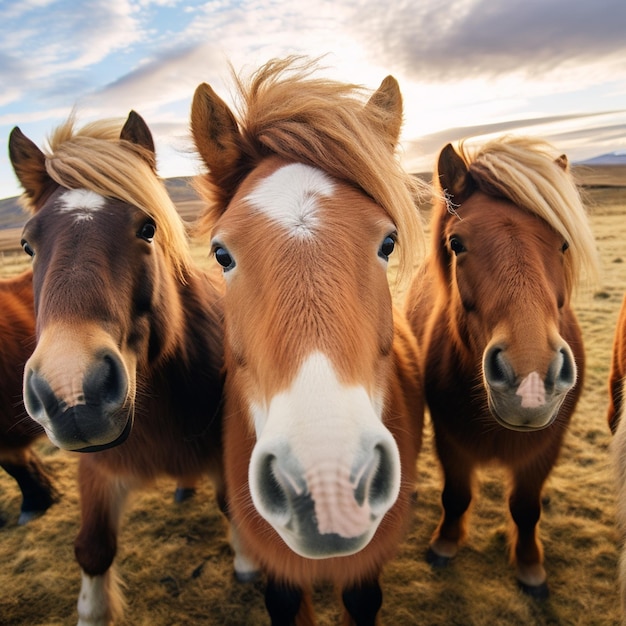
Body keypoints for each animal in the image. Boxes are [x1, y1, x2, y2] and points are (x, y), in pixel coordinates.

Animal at [7, 112, 251, 624]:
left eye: (147, 228)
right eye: (27, 244)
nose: (74, 392)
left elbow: (233, 505)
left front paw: (246, 563)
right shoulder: (97, 470)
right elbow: (93, 549)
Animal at [402, 138, 596, 600]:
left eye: (564, 243)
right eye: (457, 243)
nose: (530, 382)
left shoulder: (545, 450)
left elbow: (525, 509)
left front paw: (529, 567)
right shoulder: (450, 440)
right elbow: (456, 496)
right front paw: (444, 544)